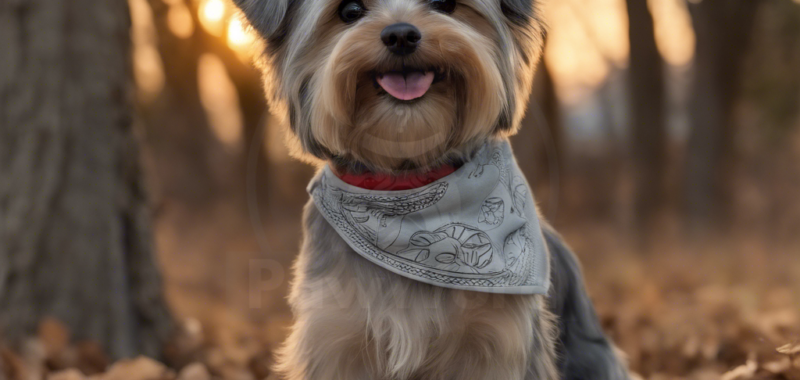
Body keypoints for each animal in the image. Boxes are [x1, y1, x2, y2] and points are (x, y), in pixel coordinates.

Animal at [231, 0, 632, 378]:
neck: (407, 180)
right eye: (350, 11)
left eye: (445, 4)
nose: (400, 35)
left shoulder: (498, 340)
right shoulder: (336, 333)